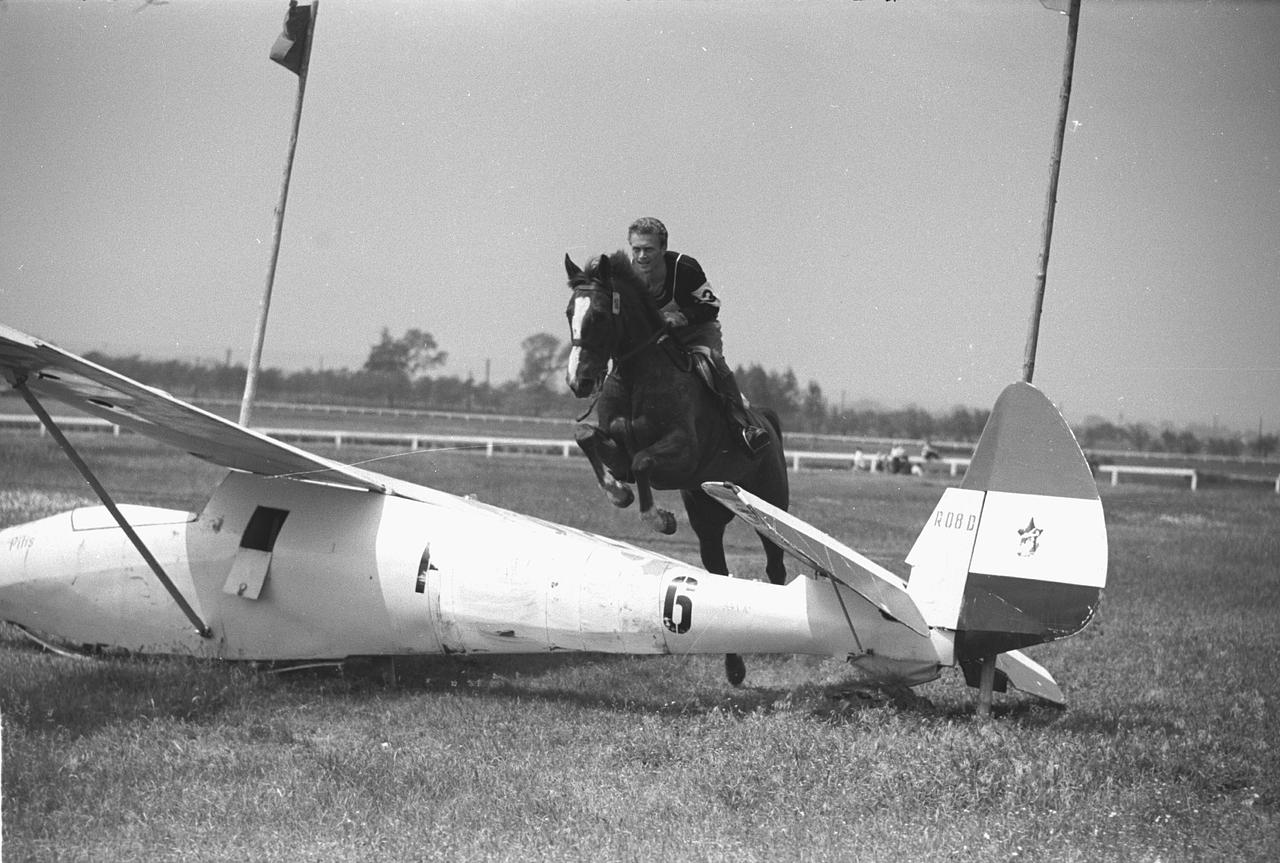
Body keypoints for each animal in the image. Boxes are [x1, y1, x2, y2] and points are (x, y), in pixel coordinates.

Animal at [562, 251, 791, 683]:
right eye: (569, 312)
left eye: (598, 315)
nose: (578, 381)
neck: (636, 375)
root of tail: (767, 420)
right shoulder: (617, 447)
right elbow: (587, 437)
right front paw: (618, 493)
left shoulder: (682, 453)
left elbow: (643, 460)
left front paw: (658, 518)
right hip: (706, 520)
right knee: (718, 571)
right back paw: (734, 668)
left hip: (771, 506)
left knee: (776, 568)